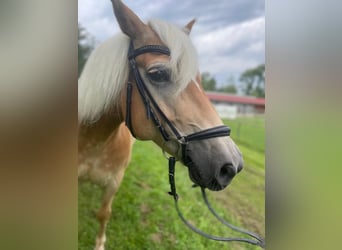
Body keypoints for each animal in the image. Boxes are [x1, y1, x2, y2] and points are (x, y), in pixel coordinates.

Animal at [77, 0, 243, 249]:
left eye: (199, 80)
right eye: (158, 74)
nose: (232, 165)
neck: (94, 142)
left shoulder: (113, 183)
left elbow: (103, 213)